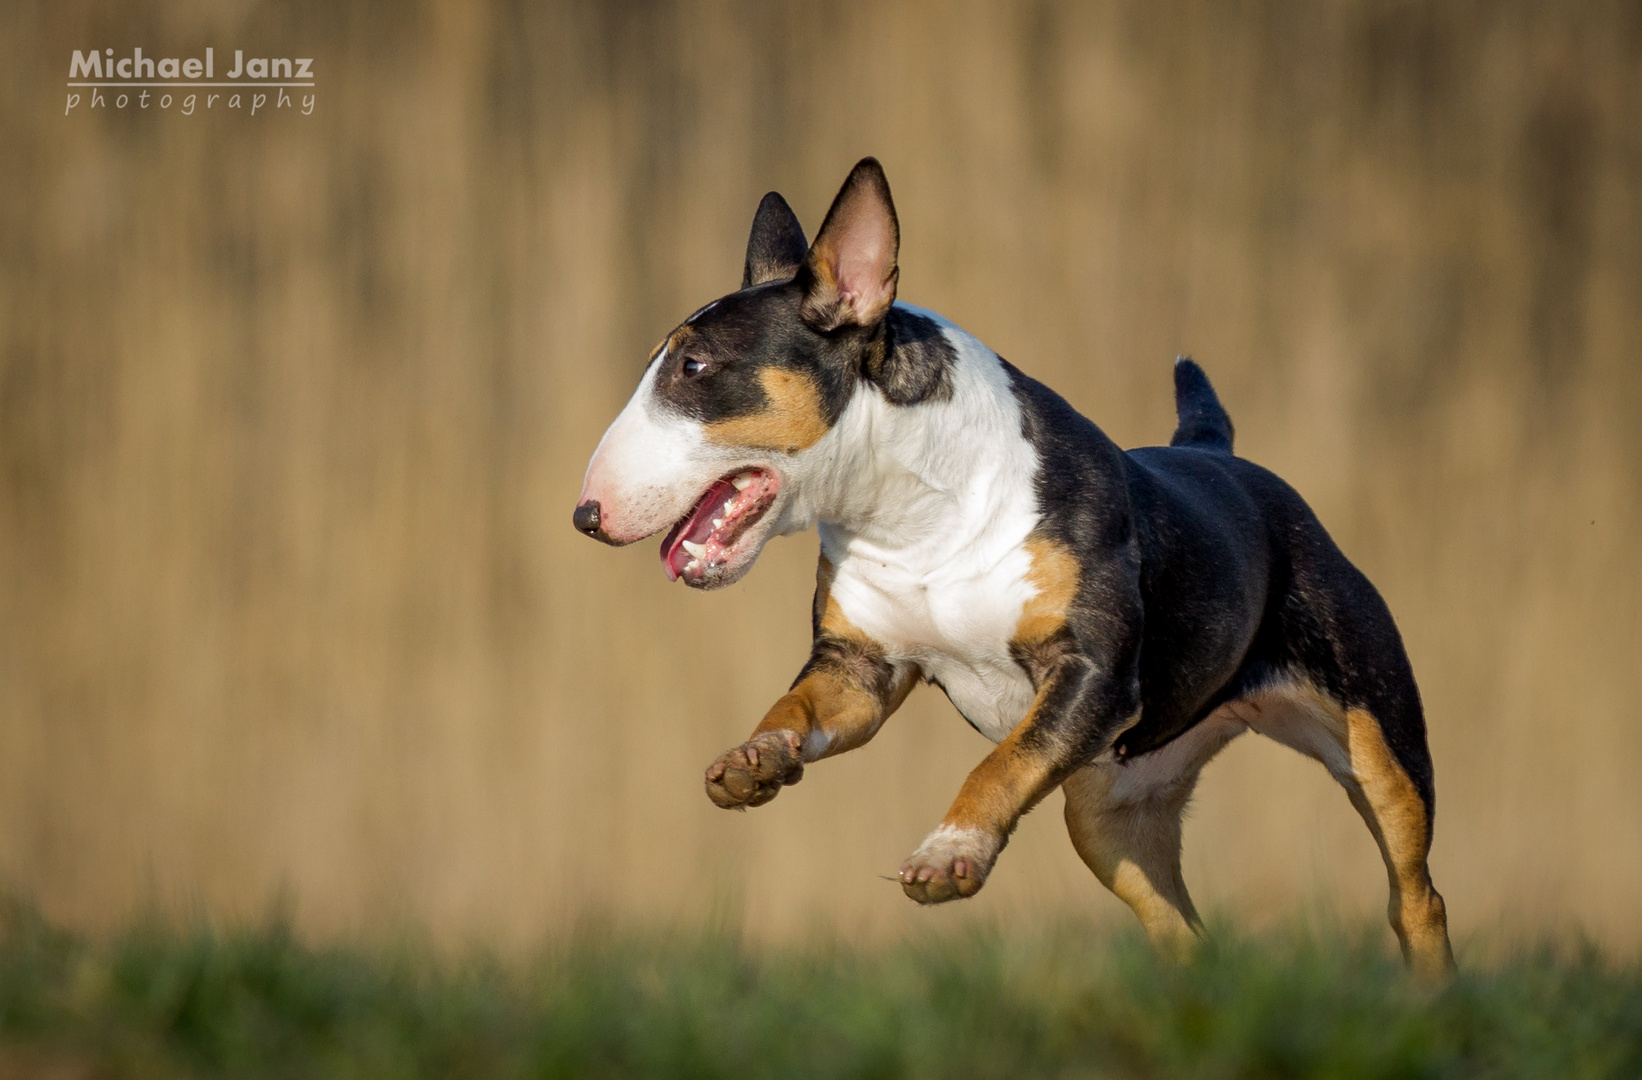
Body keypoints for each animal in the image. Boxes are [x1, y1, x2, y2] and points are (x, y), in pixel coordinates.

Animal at [574, 155, 1451, 971]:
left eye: (693, 367)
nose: (585, 516)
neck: (917, 518)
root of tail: (1218, 452)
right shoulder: (859, 671)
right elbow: (797, 704)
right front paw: (755, 761)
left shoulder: (1092, 673)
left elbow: (1000, 762)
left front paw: (948, 853)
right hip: (1110, 818)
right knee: (1184, 932)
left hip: (1379, 744)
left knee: (1417, 894)